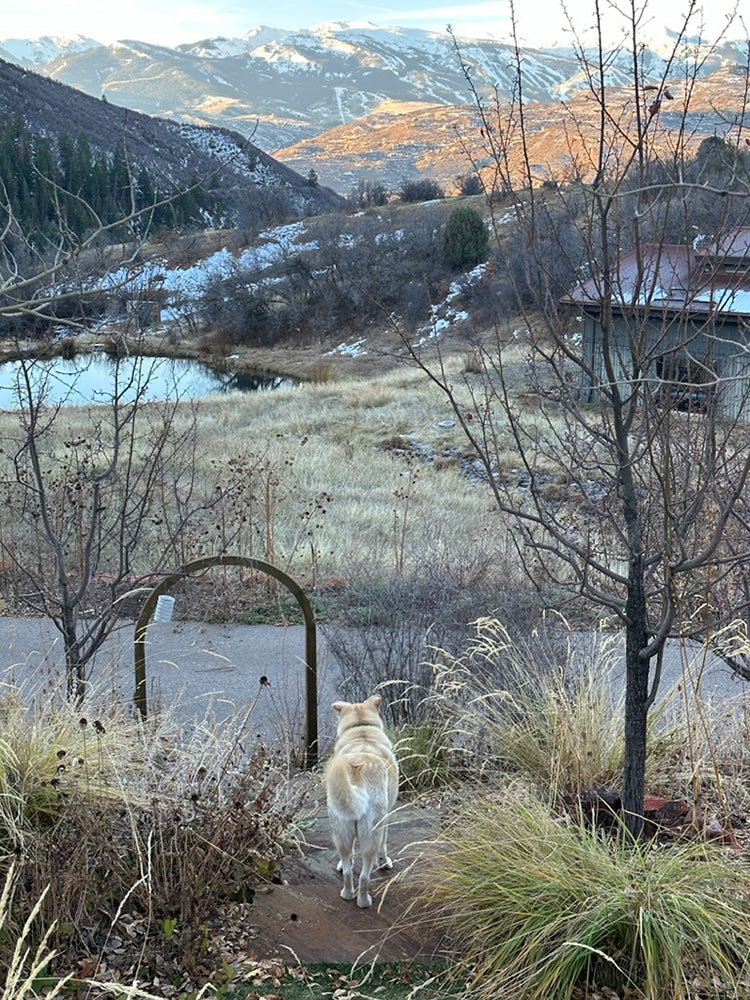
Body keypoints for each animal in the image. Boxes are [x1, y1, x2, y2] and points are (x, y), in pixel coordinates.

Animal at [326, 696, 402, 908]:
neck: (361, 730)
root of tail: (356, 774)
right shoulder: (386, 818)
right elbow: (384, 845)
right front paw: (385, 863)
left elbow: (349, 859)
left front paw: (341, 865)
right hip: (371, 833)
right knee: (364, 875)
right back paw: (363, 901)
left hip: (341, 829)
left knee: (349, 869)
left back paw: (346, 893)